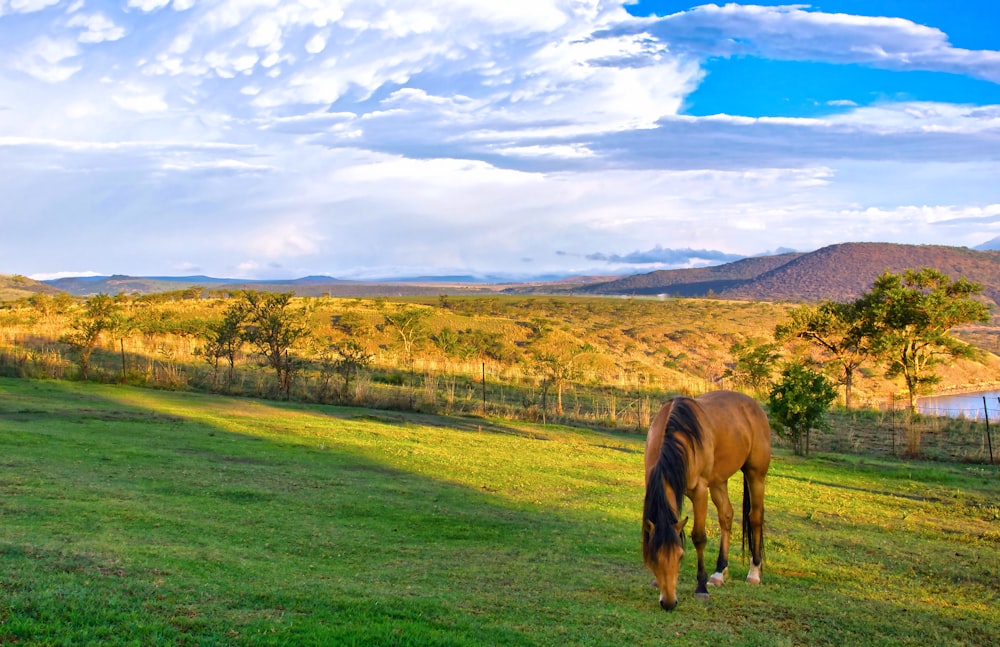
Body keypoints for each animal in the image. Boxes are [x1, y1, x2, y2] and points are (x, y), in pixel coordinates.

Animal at [640, 390, 772, 612]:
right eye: (653, 558)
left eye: (681, 555)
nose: (669, 603)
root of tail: (754, 406)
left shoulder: (699, 491)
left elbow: (699, 537)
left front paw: (701, 588)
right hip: (719, 481)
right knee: (726, 516)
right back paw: (719, 572)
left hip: (756, 475)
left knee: (755, 517)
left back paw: (754, 573)